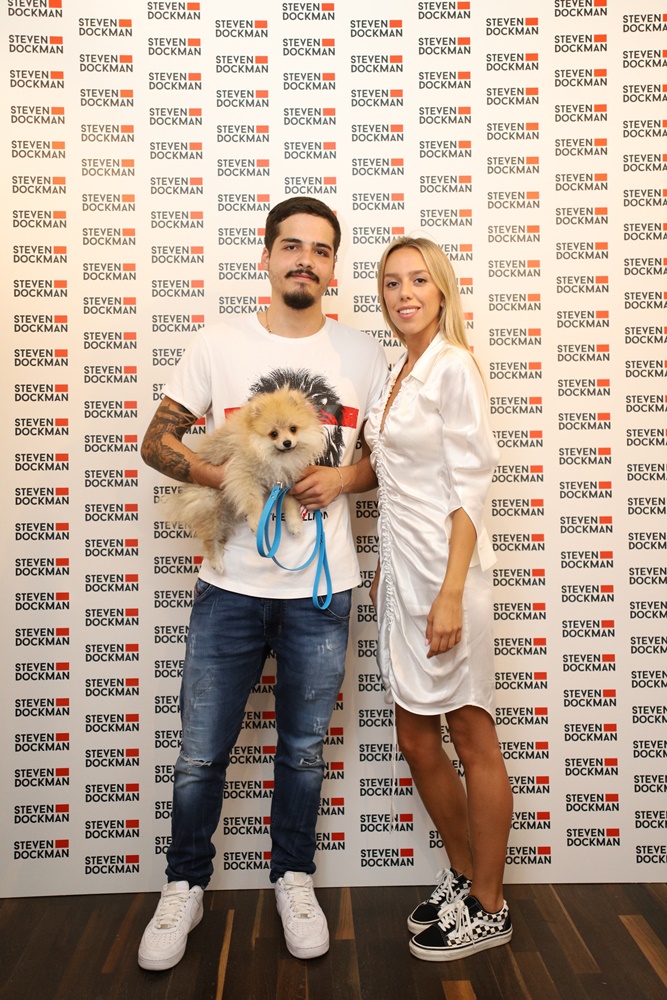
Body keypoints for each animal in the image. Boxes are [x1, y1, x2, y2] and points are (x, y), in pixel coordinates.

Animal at [162, 387, 326, 572]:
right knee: (210, 538)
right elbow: (252, 502)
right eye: (273, 434)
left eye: (293, 429)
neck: (275, 457)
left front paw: (294, 525)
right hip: (211, 504)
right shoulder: (244, 475)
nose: (287, 442)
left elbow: (290, 504)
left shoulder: (286, 480)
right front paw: (256, 522)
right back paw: (217, 562)